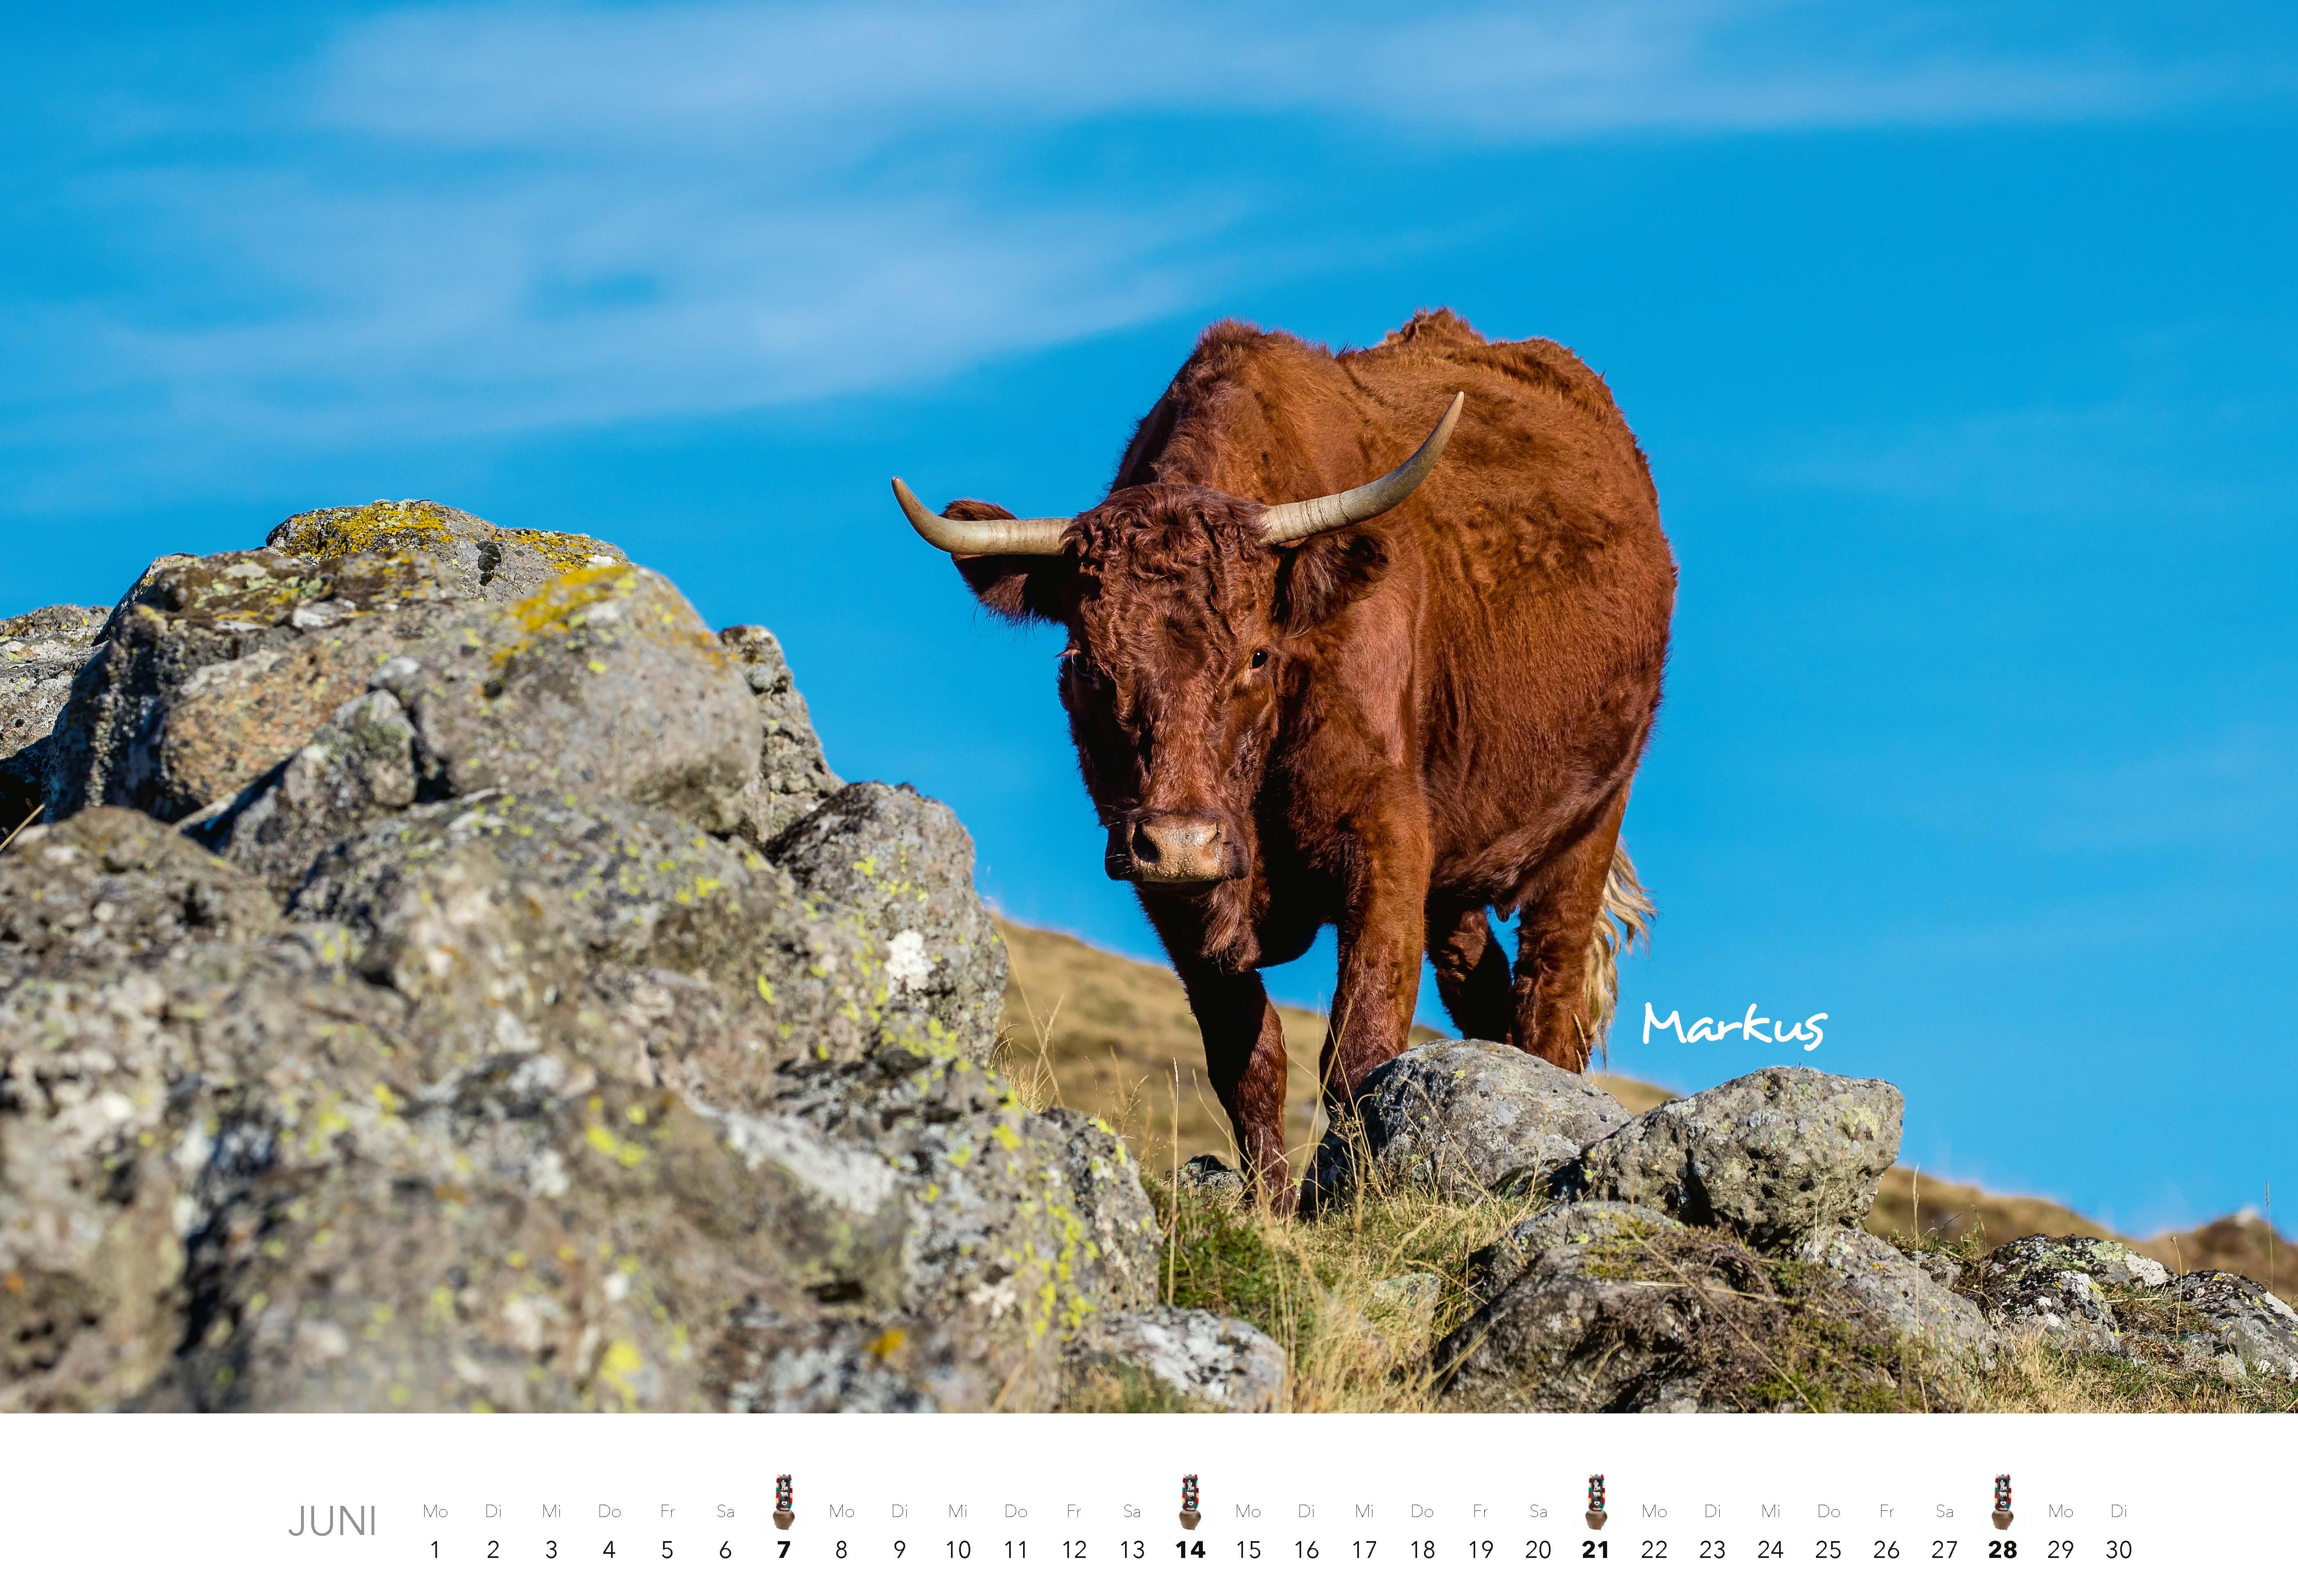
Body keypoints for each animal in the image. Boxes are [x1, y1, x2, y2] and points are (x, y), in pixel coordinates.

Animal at [893, 309, 1675, 1211]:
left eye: (1259, 656)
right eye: (1087, 663)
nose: (1183, 839)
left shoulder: (1385, 840)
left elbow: (1361, 1045)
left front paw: (1353, 1201)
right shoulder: (1169, 888)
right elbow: (1248, 1056)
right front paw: (1270, 1209)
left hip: (1590, 823)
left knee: (1549, 993)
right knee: (1482, 987)